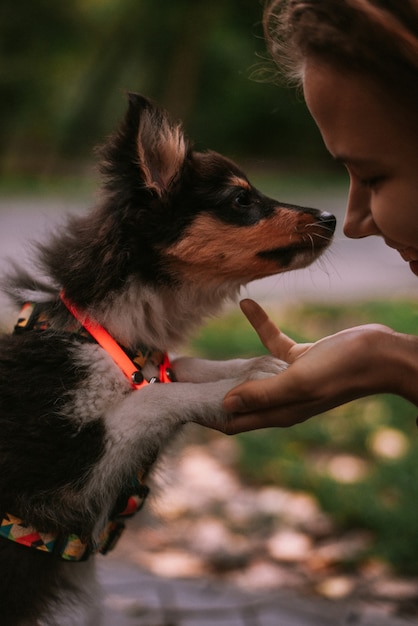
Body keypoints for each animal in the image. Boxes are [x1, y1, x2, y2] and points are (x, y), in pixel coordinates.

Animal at [0, 90, 336, 620]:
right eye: (241, 200)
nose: (332, 218)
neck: (103, 332)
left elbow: (175, 368)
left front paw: (251, 366)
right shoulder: (69, 465)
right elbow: (153, 397)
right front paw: (238, 386)